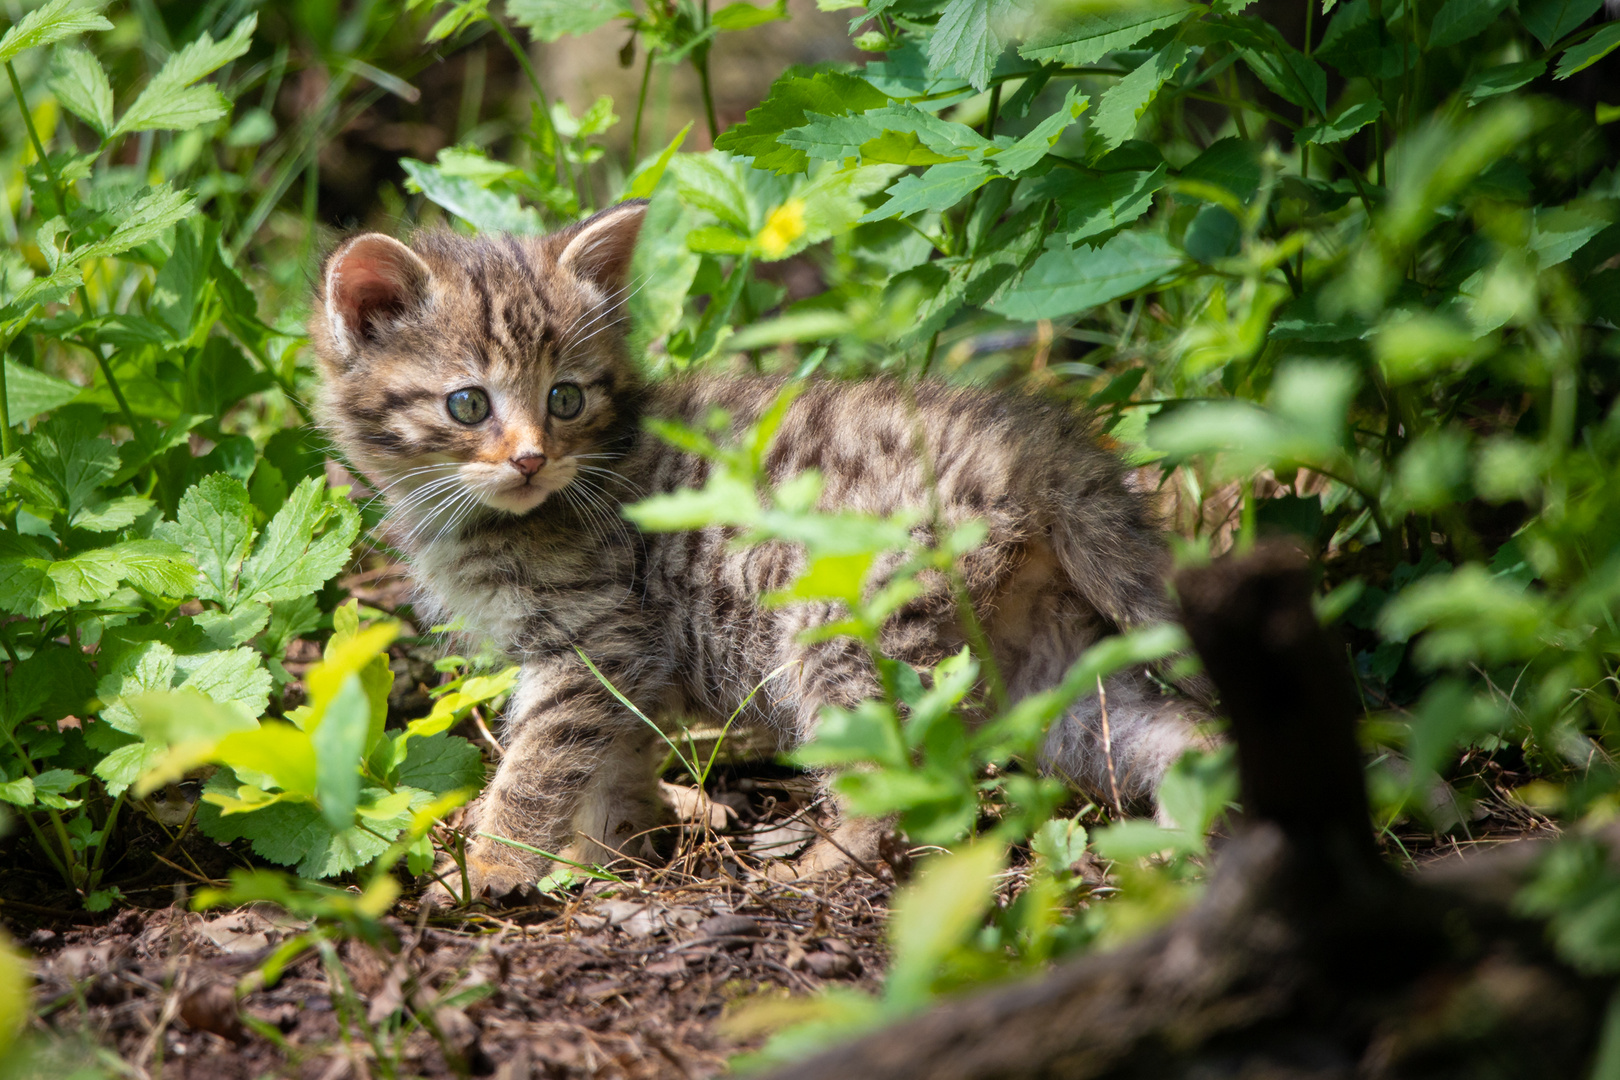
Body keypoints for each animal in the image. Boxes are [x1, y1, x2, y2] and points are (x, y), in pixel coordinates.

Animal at [309, 196, 1211, 906]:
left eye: (564, 398)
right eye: (468, 405)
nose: (532, 459)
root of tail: (1036, 446)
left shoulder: (597, 638)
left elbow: (539, 760)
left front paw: (497, 863)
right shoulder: (624, 665)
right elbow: (609, 765)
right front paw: (604, 860)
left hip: (844, 629)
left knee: (901, 775)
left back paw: (820, 866)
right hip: (1044, 666)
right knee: (1161, 726)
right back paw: (1193, 816)